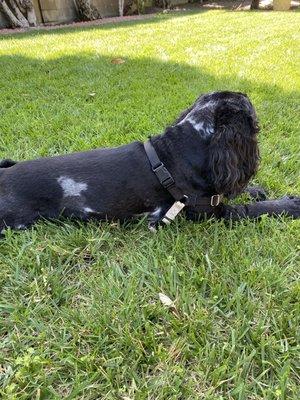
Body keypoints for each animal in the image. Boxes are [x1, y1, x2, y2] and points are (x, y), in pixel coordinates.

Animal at [0, 91, 298, 234]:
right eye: (254, 118)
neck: (187, 143)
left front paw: (256, 190)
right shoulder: (211, 213)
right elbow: (255, 209)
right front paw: (291, 204)